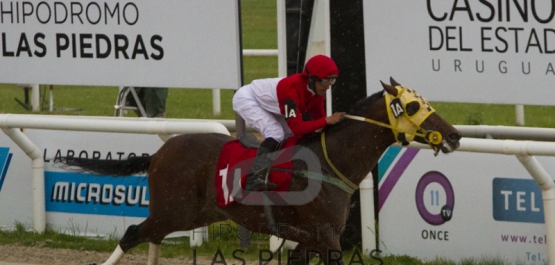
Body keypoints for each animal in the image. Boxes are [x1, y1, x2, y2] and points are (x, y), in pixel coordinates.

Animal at [65, 78, 462, 264]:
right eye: (412, 106)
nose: (455, 135)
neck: (330, 161)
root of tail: (160, 152)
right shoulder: (325, 237)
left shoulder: (310, 237)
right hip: (173, 212)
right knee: (133, 233)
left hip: (188, 215)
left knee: (150, 237)